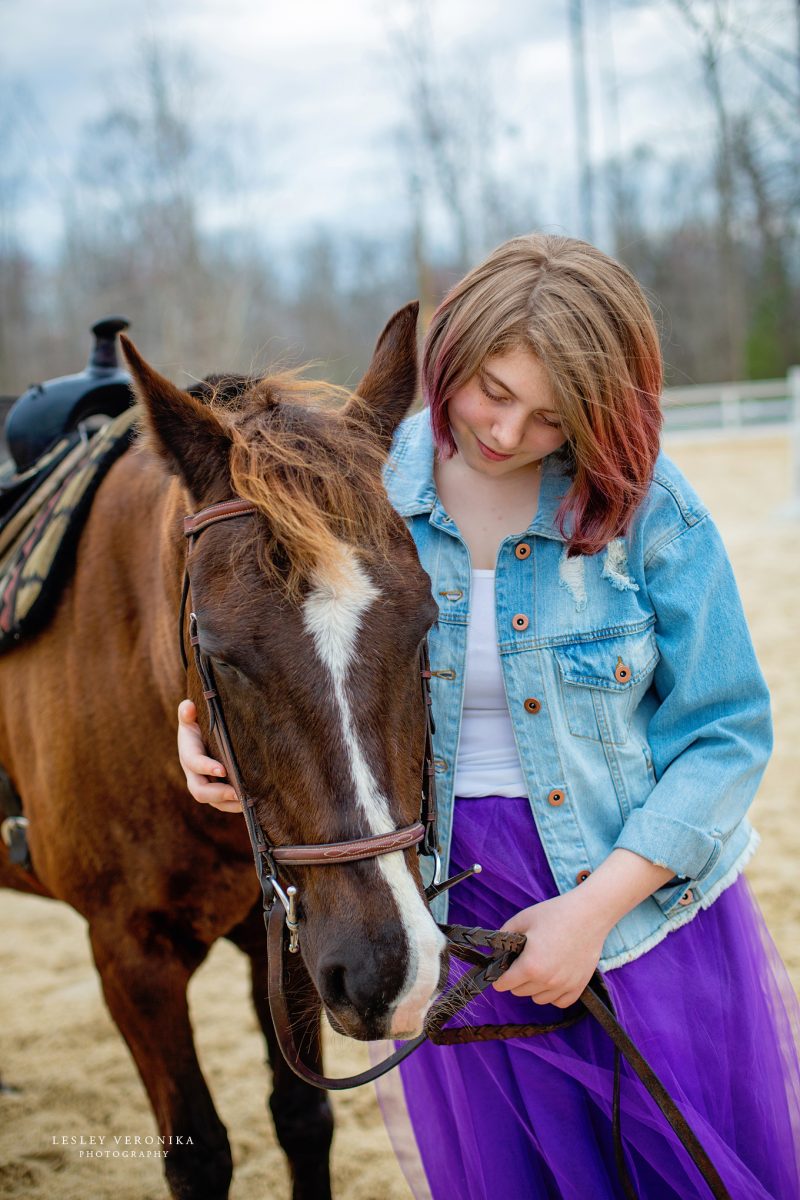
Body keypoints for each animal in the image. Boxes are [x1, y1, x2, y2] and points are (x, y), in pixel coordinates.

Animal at [0, 302, 448, 1200]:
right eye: (221, 653)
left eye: (425, 623)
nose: (392, 968)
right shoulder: (131, 959)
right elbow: (199, 1154)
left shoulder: (297, 934)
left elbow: (303, 1119)